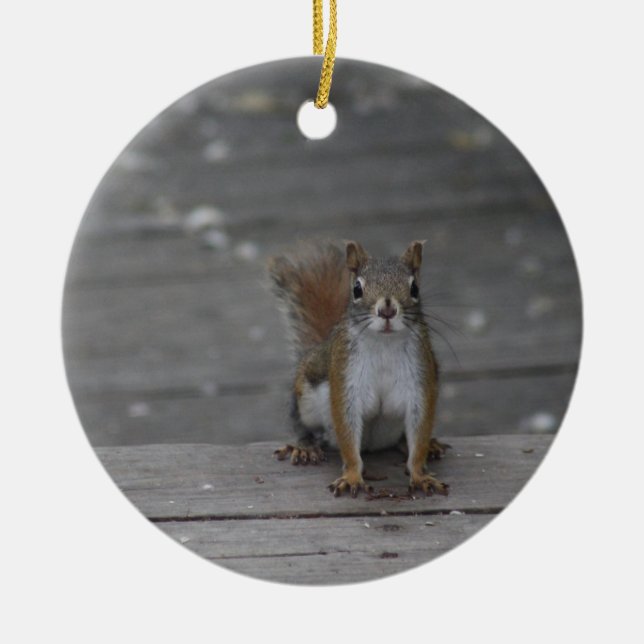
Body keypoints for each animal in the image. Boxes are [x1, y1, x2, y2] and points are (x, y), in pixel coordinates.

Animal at [268, 239, 449, 498]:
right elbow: (347, 429)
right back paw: (305, 446)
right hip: (307, 397)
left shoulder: (421, 382)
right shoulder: (345, 381)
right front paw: (352, 476)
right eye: (357, 289)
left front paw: (420, 474)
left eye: (415, 288)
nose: (387, 310)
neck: (384, 344)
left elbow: (419, 430)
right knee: (303, 424)